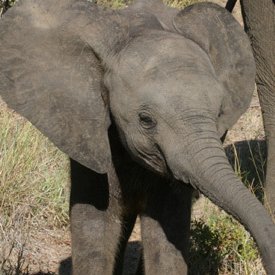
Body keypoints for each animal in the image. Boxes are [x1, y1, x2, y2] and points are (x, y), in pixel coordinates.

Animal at [0, 0, 275, 275]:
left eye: (218, 113)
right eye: (146, 120)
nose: (266, 260)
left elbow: (167, 234)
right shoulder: (88, 132)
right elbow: (94, 222)